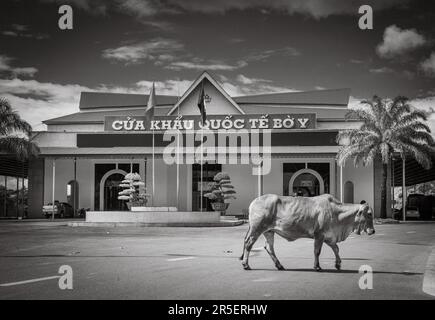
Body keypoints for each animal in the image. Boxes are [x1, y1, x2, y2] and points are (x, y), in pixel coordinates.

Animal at [240, 194, 376, 272]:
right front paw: (317, 266)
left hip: (269, 231)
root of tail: (254, 201)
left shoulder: (329, 237)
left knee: (269, 247)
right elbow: (317, 251)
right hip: (257, 228)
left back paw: (279, 265)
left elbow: (336, 248)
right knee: (248, 244)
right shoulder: (319, 235)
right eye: (369, 214)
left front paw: (338, 264)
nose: (373, 231)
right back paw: (246, 265)